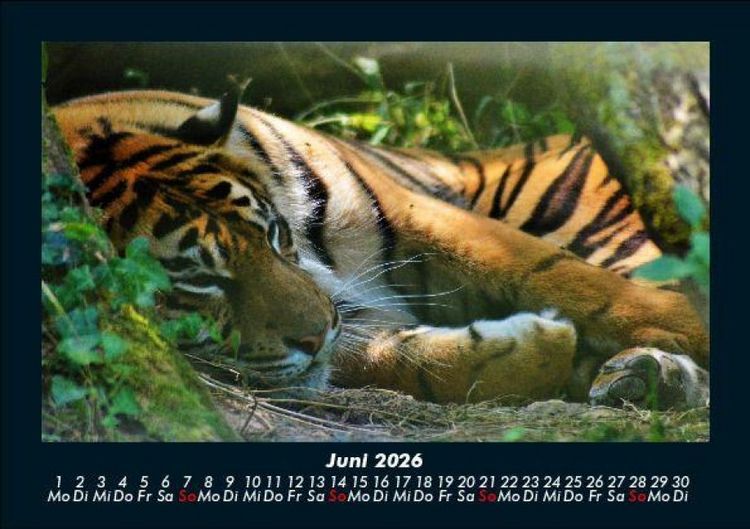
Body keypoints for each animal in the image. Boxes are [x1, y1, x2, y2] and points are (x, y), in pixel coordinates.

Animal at [52, 82, 709, 410]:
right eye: (197, 281)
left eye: (274, 234)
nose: (318, 332)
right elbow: (402, 359)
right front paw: (528, 352)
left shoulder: (411, 212)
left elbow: (557, 275)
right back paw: (644, 377)